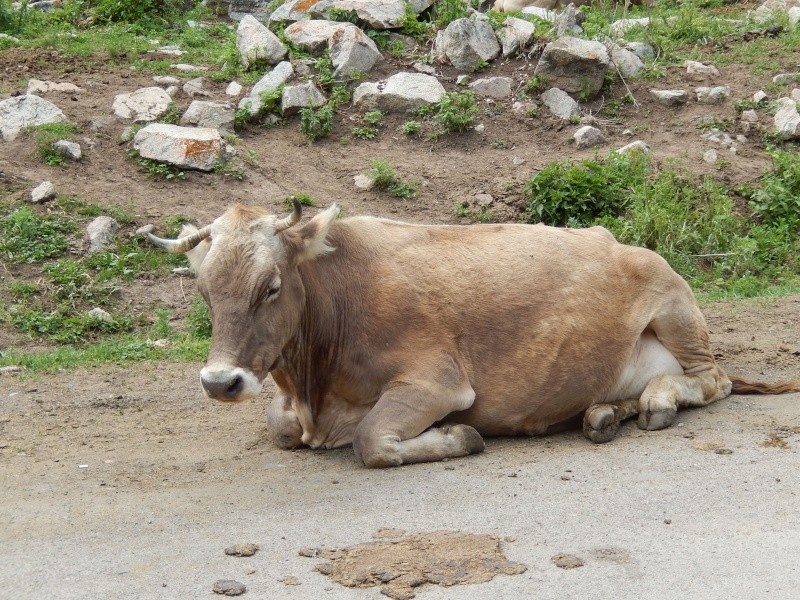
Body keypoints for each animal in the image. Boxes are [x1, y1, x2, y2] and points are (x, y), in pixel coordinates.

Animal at [147, 202, 796, 468]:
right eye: (203, 290)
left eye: (272, 286)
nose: (221, 381)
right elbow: (279, 428)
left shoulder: (438, 382)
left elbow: (371, 441)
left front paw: (460, 437)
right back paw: (604, 414)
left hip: (675, 303)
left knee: (711, 380)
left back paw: (656, 402)